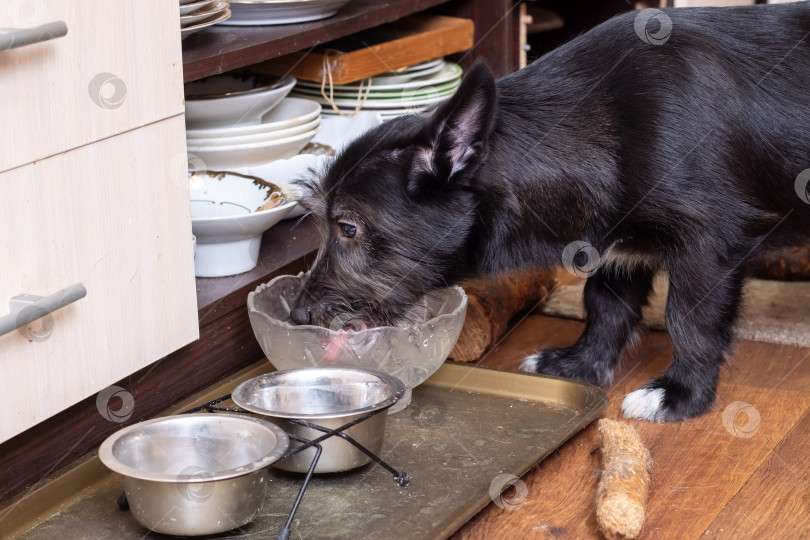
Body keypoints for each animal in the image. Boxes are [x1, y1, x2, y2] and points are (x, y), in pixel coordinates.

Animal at [294, 4, 808, 422]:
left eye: (347, 227)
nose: (299, 315)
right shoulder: (618, 249)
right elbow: (604, 308)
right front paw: (581, 365)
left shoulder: (708, 250)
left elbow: (690, 322)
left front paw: (680, 395)